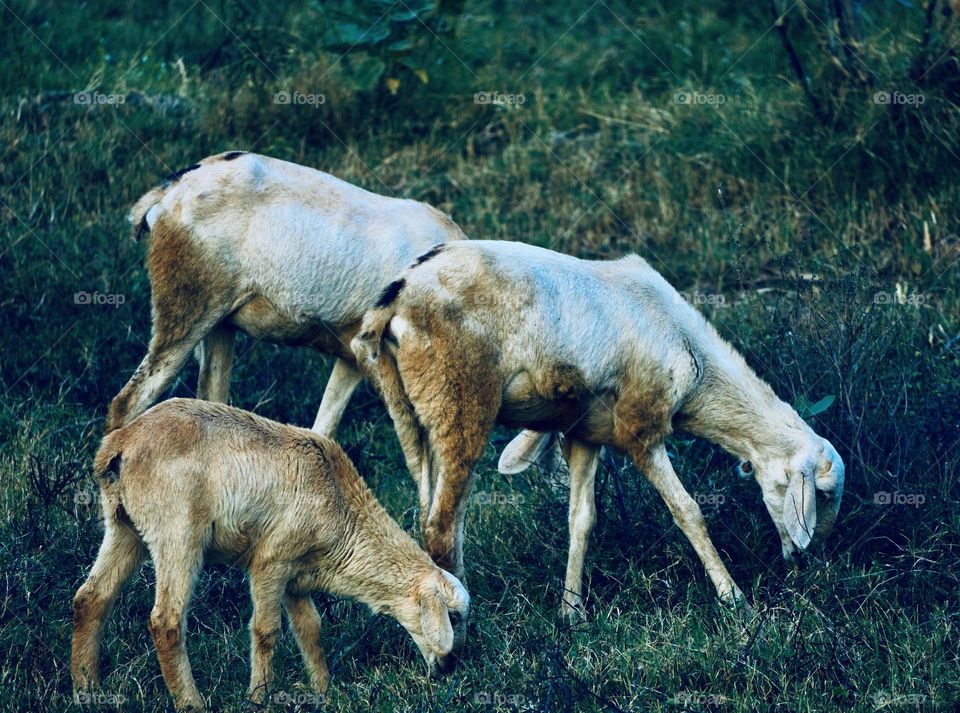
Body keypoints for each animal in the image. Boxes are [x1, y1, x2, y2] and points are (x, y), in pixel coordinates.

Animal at [71, 398, 468, 708]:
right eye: (453, 616)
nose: (451, 668)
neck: (345, 512)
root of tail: (121, 441)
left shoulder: (297, 575)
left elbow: (310, 629)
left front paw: (323, 690)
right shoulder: (271, 561)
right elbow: (266, 630)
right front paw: (259, 697)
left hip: (124, 528)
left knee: (90, 599)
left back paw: (87, 689)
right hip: (177, 532)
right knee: (166, 621)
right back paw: (191, 702)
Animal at [350, 241, 840, 656]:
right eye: (824, 493)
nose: (805, 560)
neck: (697, 368)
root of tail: (397, 296)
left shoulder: (586, 433)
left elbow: (582, 520)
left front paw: (572, 614)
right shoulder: (641, 426)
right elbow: (688, 511)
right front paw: (734, 599)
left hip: (410, 412)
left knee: (425, 514)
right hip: (460, 400)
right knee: (443, 527)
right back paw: (465, 635)